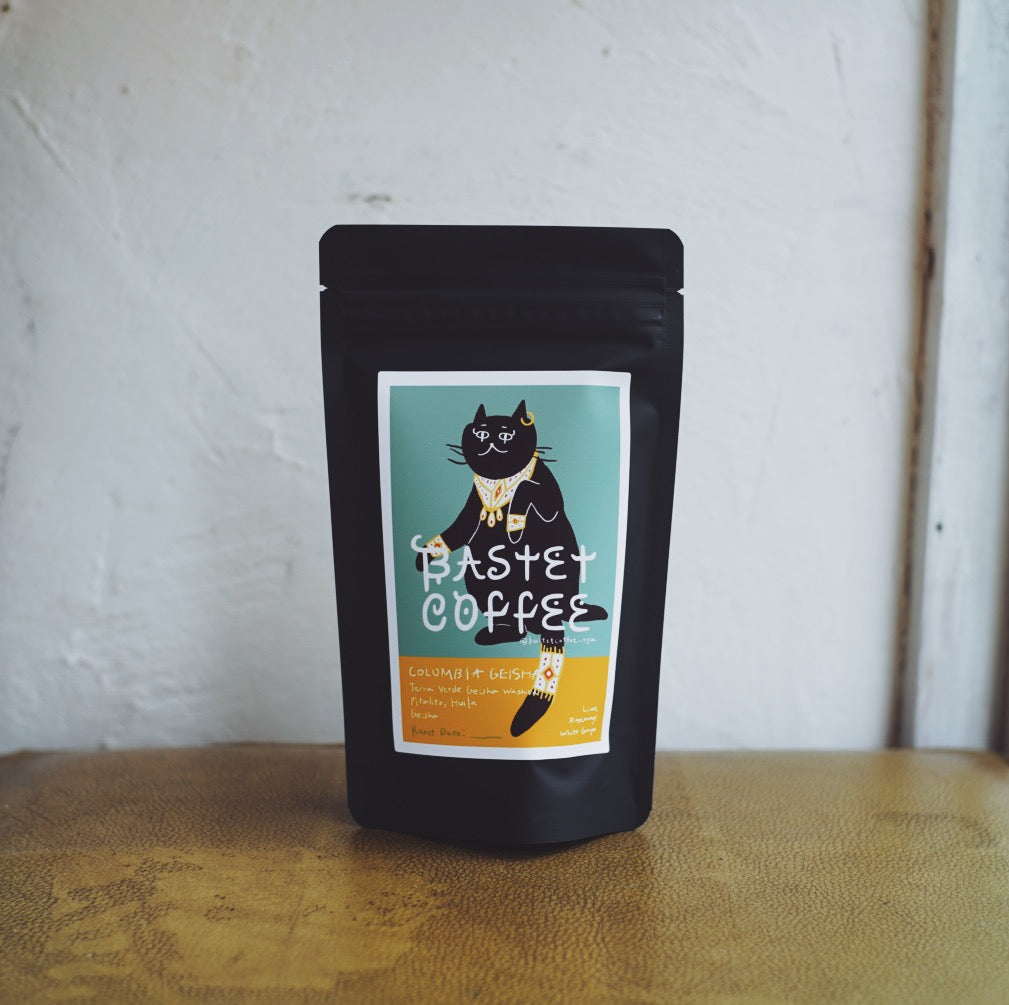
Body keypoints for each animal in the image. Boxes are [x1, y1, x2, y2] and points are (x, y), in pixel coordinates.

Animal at [416, 400, 607, 736]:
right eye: (480, 432)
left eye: (507, 434)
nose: (492, 441)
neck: (498, 484)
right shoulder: (469, 512)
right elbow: (454, 532)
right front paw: (424, 555)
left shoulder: (548, 498)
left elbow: (529, 488)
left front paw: (515, 520)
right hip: (484, 584)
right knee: (515, 627)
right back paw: (499, 633)